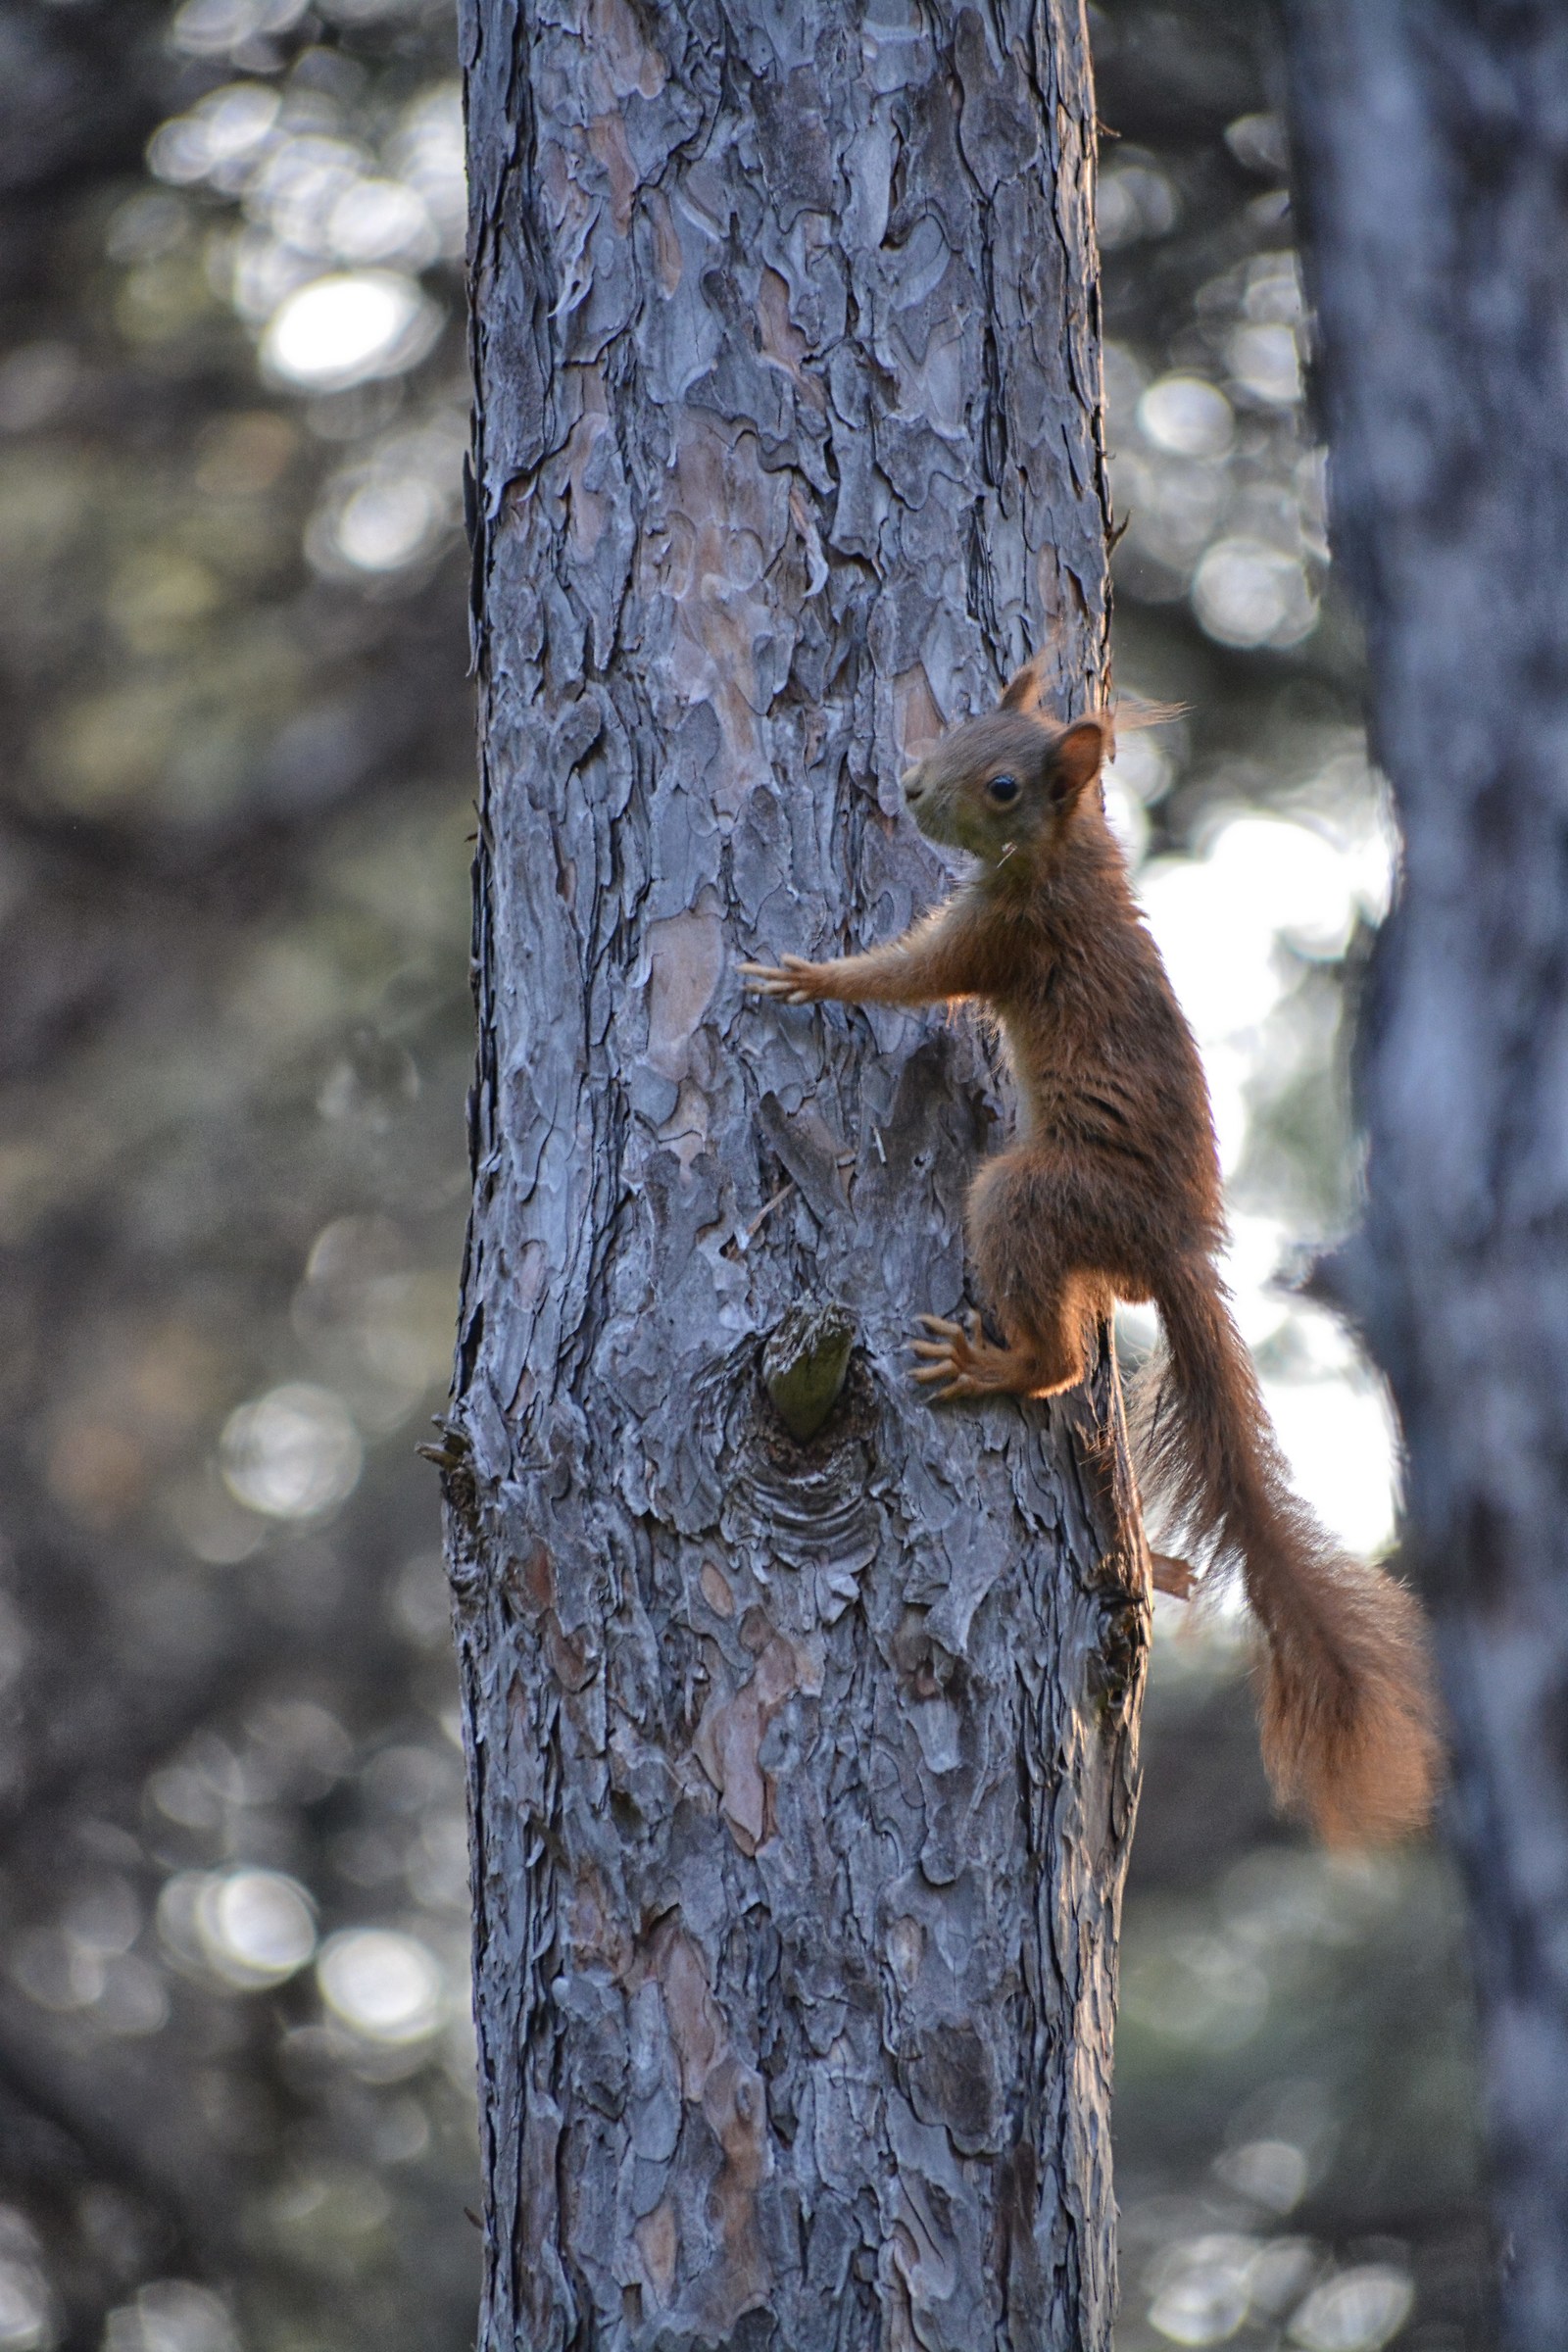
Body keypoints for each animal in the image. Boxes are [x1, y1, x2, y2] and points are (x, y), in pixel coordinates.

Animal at [741, 659, 1439, 1846]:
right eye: (967, 722)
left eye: (1005, 786)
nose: (910, 785)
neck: (1066, 857)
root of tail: (1168, 1246)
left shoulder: (1001, 941)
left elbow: (909, 976)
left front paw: (807, 978)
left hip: (1031, 1195)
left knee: (1059, 1357)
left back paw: (993, 1363)